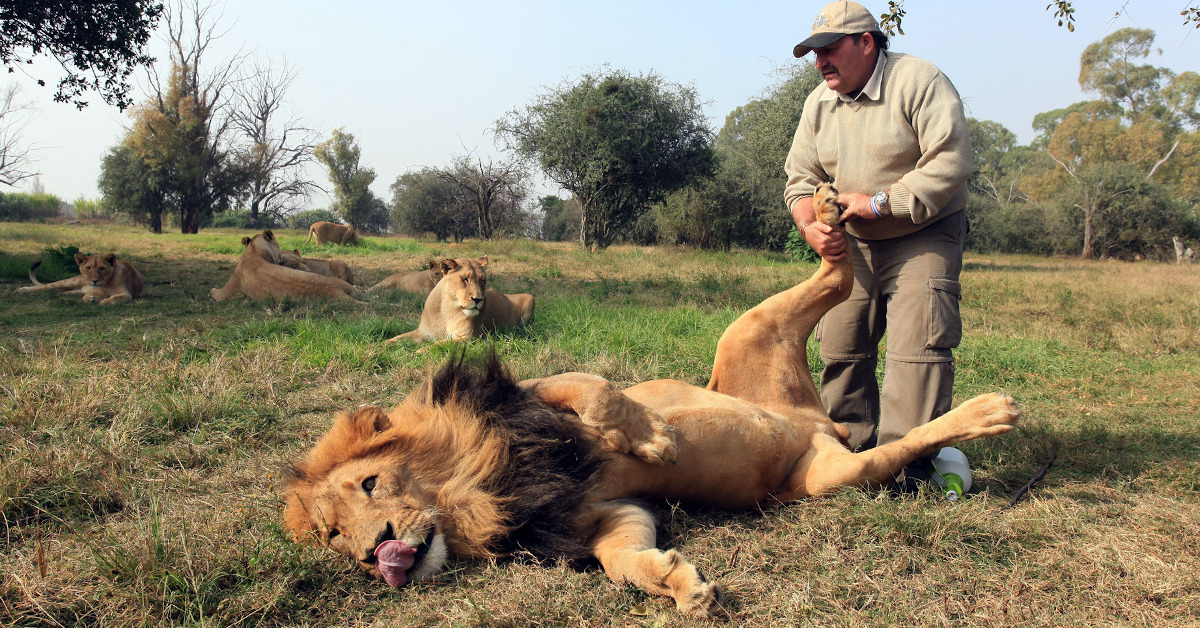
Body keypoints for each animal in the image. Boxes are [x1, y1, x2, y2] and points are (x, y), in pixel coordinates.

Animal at [16, 253, 144, 305]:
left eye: (102, 268)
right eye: (88, 268)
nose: (94, 281)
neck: (106, 283)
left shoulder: (126, 294)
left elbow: (115, 297)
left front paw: (105, 301)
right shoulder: (93, 290)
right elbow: (85, 297)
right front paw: (89, 299)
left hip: (73, 290)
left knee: (58, 291)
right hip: (72, 281)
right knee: (47, 286)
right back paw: (23, 290)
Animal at [210, 230, 363, 303]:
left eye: (303, 261)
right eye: (294, 264)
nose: (309, 270)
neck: (253, 251)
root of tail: (333, 290)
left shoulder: (227, 290)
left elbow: (216, 293)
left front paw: (211, 290)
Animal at [384, 256, 535, 344]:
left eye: (483, 280)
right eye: (465, 279)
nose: (478, 299)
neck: (446, 310)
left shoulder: (467, 337)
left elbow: (438, 344)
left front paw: (419, 352)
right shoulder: (423, 333)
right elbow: (397, 337)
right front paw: (382, 345)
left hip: (530, 297)